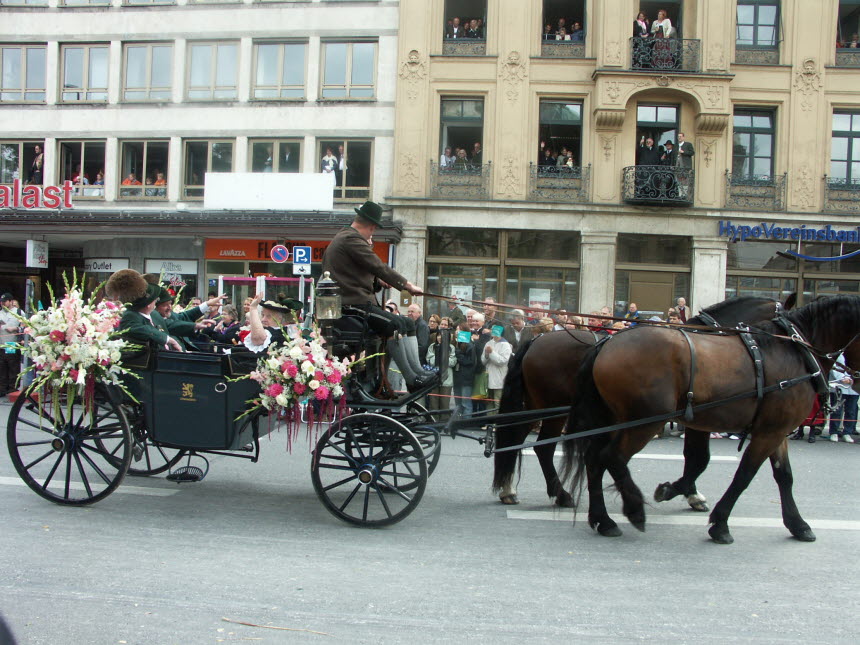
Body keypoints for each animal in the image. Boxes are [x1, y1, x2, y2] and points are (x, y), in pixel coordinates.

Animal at [498, 296, 788, 508]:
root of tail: (536, 339)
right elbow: (699, 458)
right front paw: (684, 491)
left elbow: (695, 457)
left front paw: (688, 492)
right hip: (551, 409)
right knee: (542, 447)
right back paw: (557, 493)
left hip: (537, 406)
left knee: (517, 438)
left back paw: (509, 488)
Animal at [564, 294, 860, 540]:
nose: (853, 380)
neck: (792, 351)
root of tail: (606, 343)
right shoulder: (766, 432)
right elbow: (742, 474)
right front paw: (719, 522)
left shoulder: (773, 430)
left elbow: (782, 476)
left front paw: (798, 525)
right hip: (645, 423)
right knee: (612, 457)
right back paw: (634, 508)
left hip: (615, 420)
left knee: (595, 460)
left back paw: (603, 519)